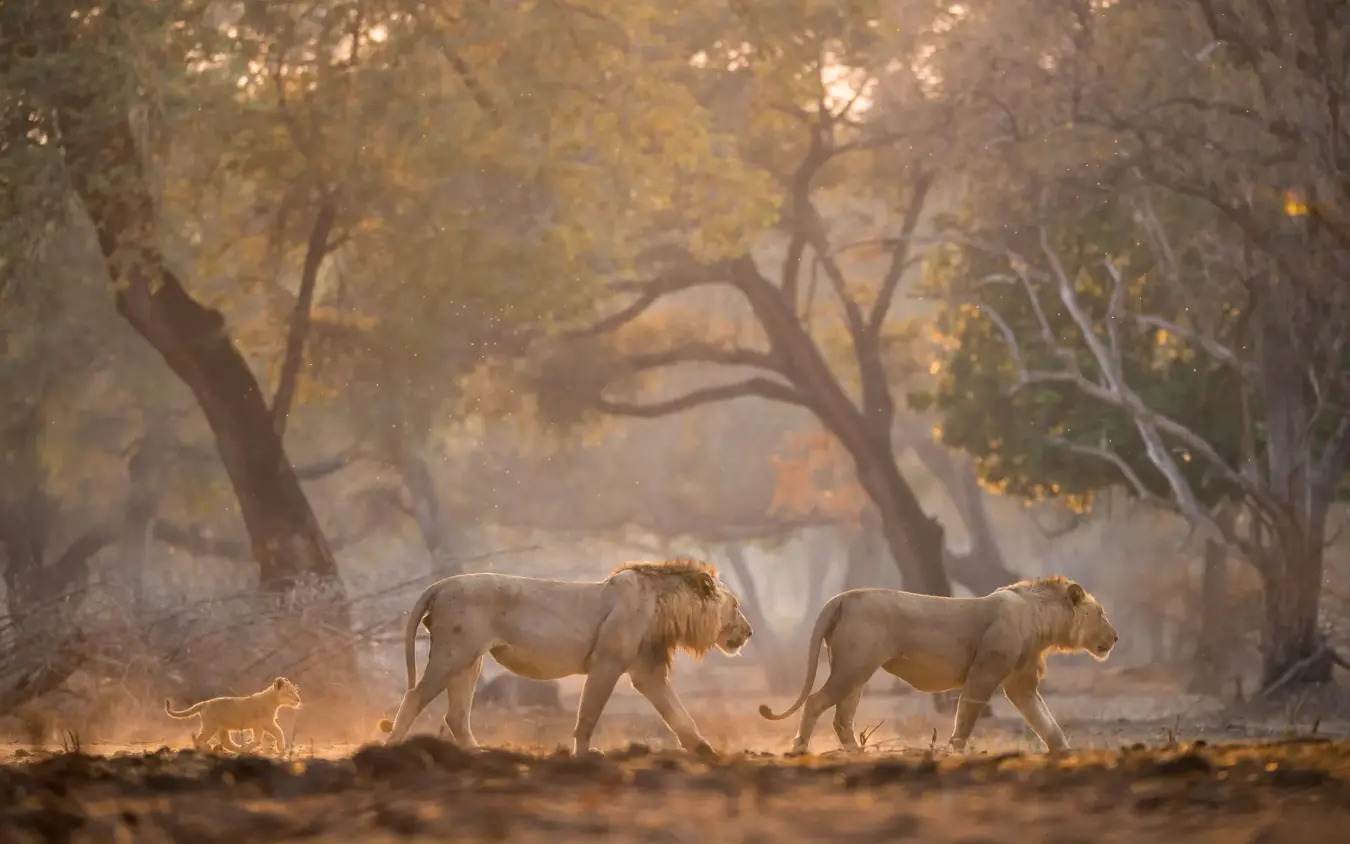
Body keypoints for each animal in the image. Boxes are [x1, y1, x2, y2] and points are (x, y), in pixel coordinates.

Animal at [165, 677, 302, 754]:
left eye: (295, 692)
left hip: (223, 728)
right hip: (210, 726)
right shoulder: (265, 722)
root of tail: (204, 703)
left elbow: (267, 735)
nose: (298, 699)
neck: (274, 700)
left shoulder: (262, 724)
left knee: (227, 743)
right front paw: (280, 748)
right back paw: (208, 749)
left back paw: (238, 748)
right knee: (199, 739)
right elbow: (276, 732)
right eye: (290, 692)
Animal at [376, 558, 753, 757]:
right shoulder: (607, 663)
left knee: (456, 715)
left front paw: (706, 751)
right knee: (414, 696)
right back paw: (391, 748)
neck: (666, 607)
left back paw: (477, 754)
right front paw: (585, 755)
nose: (749, 632)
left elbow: (679, 715)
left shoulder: (647, 672)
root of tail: (440, 584)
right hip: (453, 654)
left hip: (470, 660)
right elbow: (588, 714)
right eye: (735, 605)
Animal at [759, 576, 1117, 755]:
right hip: (853, 667)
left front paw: (1066, 753)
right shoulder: (985, 673)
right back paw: (800, 749)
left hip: (855, 671)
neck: (1042, 619)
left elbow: (1047, 723)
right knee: (815, 701)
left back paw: (857, 754)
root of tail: (841, 597)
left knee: (842, 718)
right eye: (1101, 613)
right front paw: (955, 751)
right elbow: (967, 716)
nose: (1115, 637)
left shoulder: (1021, 684)